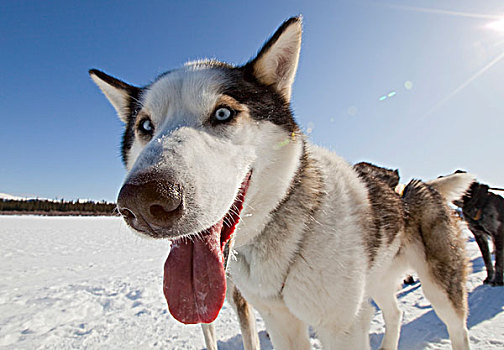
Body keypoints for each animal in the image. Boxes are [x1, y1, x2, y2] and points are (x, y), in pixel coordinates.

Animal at [89, 17, 472, 350]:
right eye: (145, 126)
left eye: (223, 113)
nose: (142, 201)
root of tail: (422, 186)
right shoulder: (280, 322)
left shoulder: (341, 326)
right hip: (376, 283)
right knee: (394, 313)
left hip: (440, 288)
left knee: (457, 329)